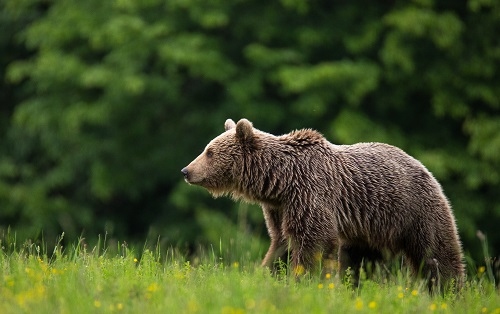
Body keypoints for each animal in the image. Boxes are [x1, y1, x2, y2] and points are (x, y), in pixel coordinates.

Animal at [181, 118, 464, 290]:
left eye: (210, 152)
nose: (186, 170)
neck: (280, 180)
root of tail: (426, 169)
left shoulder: (311, 193)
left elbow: (313, 242)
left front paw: (302, 280)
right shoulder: (280, 207)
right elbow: (282, 243)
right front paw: (266, 273)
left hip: (414, 210)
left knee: (436, 253)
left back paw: (448, 290)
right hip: (369, 229)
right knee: (361, 261)